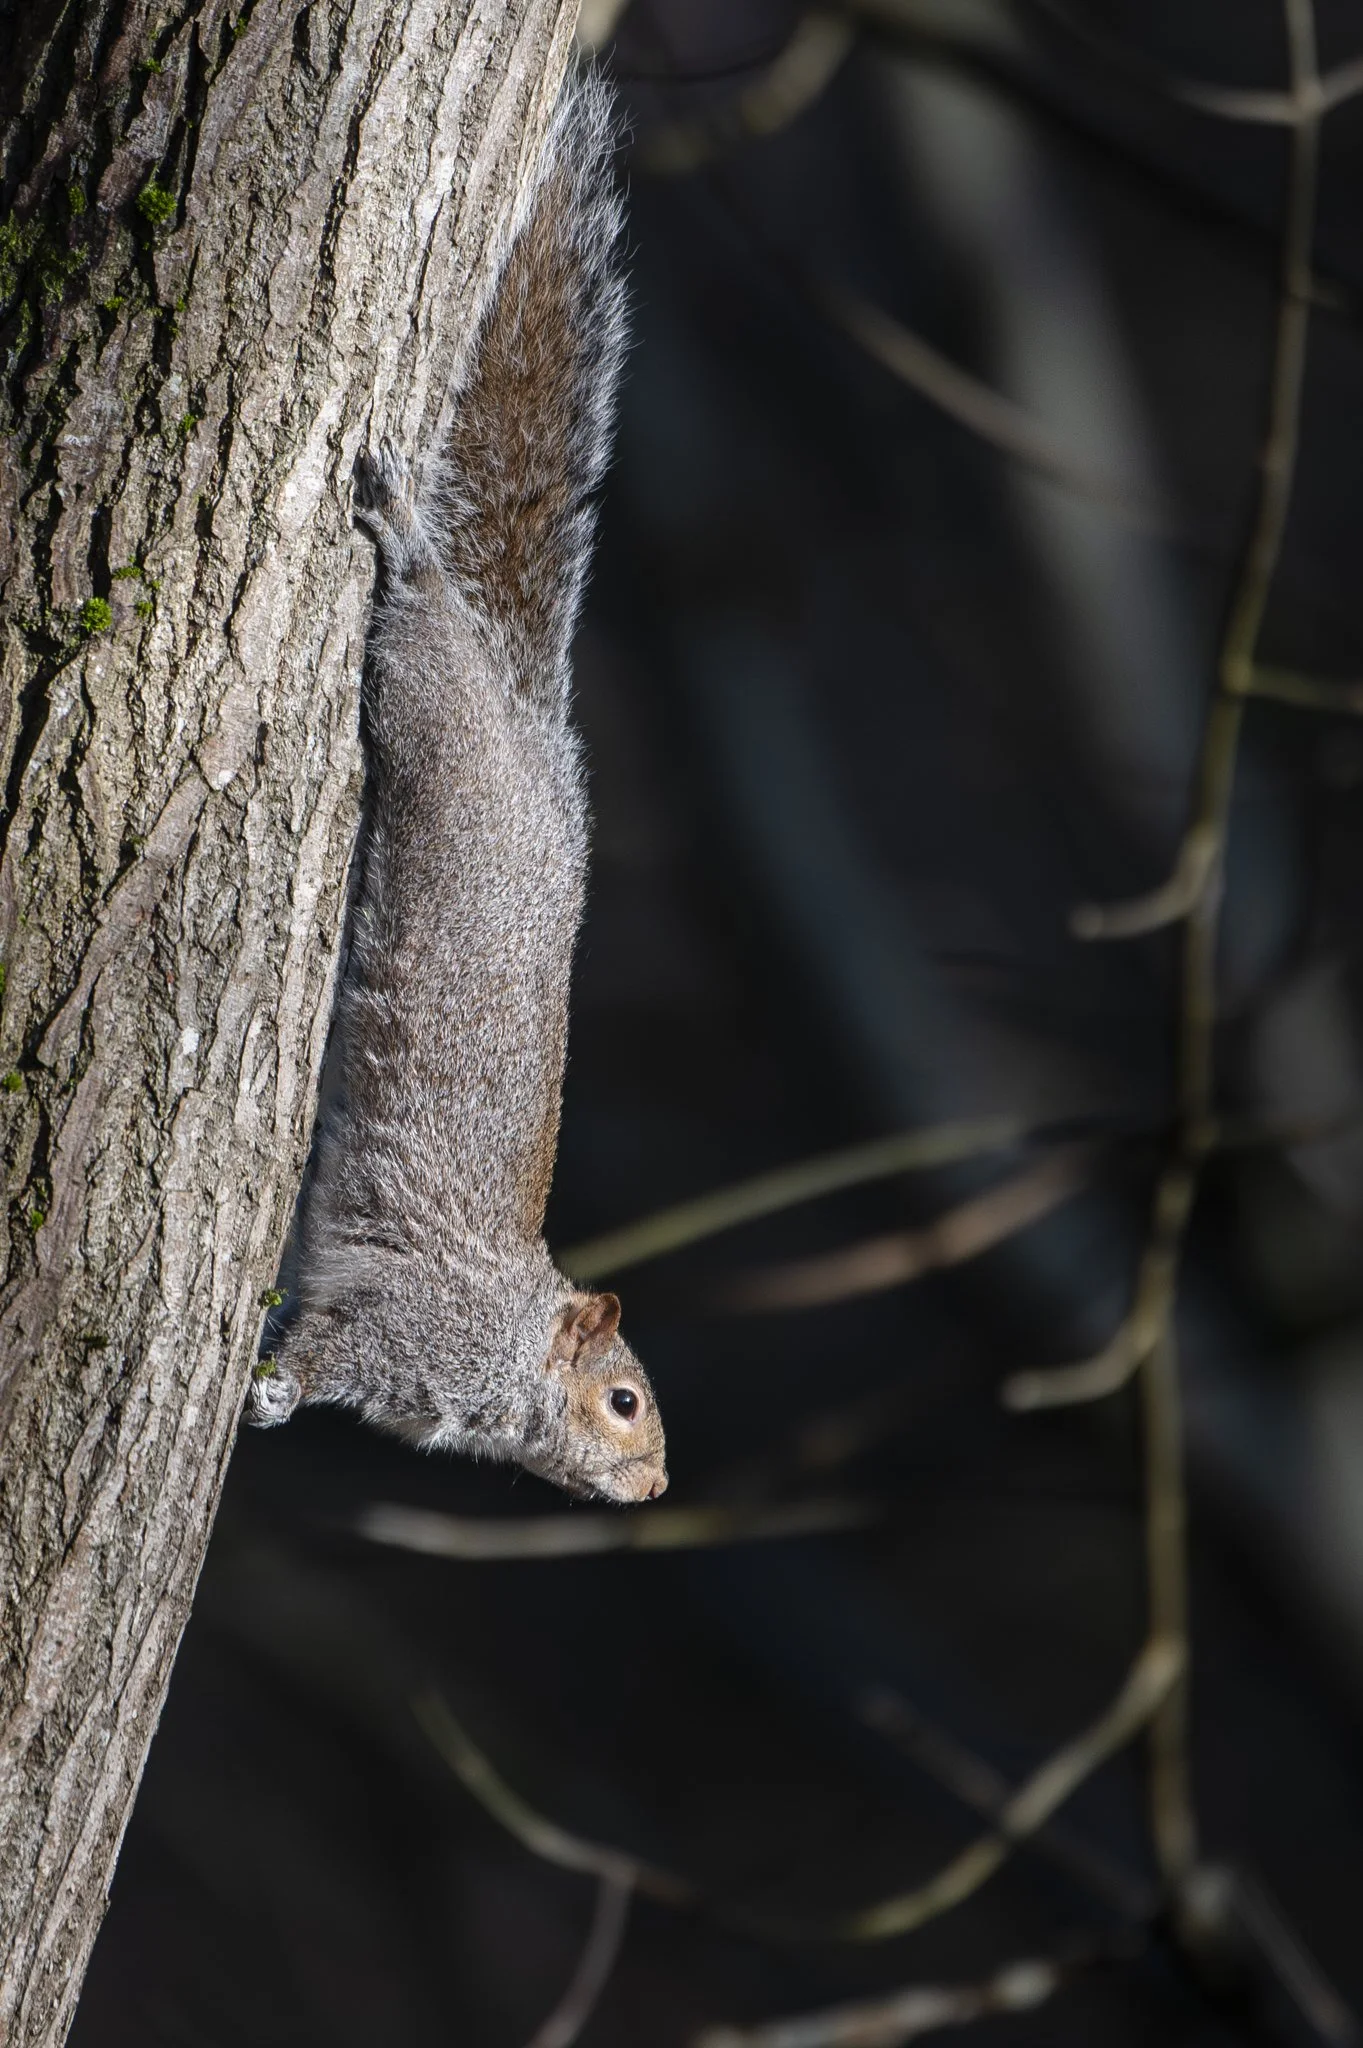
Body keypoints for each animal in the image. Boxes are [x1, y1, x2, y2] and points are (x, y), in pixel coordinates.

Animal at [243, 69, 667, 1507]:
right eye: (622, 1399)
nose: (657, 1486)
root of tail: (534, 736)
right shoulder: (398, 1326)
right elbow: (319, 1350)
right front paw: (262, 1389)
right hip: (435, 715)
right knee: (418, 623)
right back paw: (404, 540)